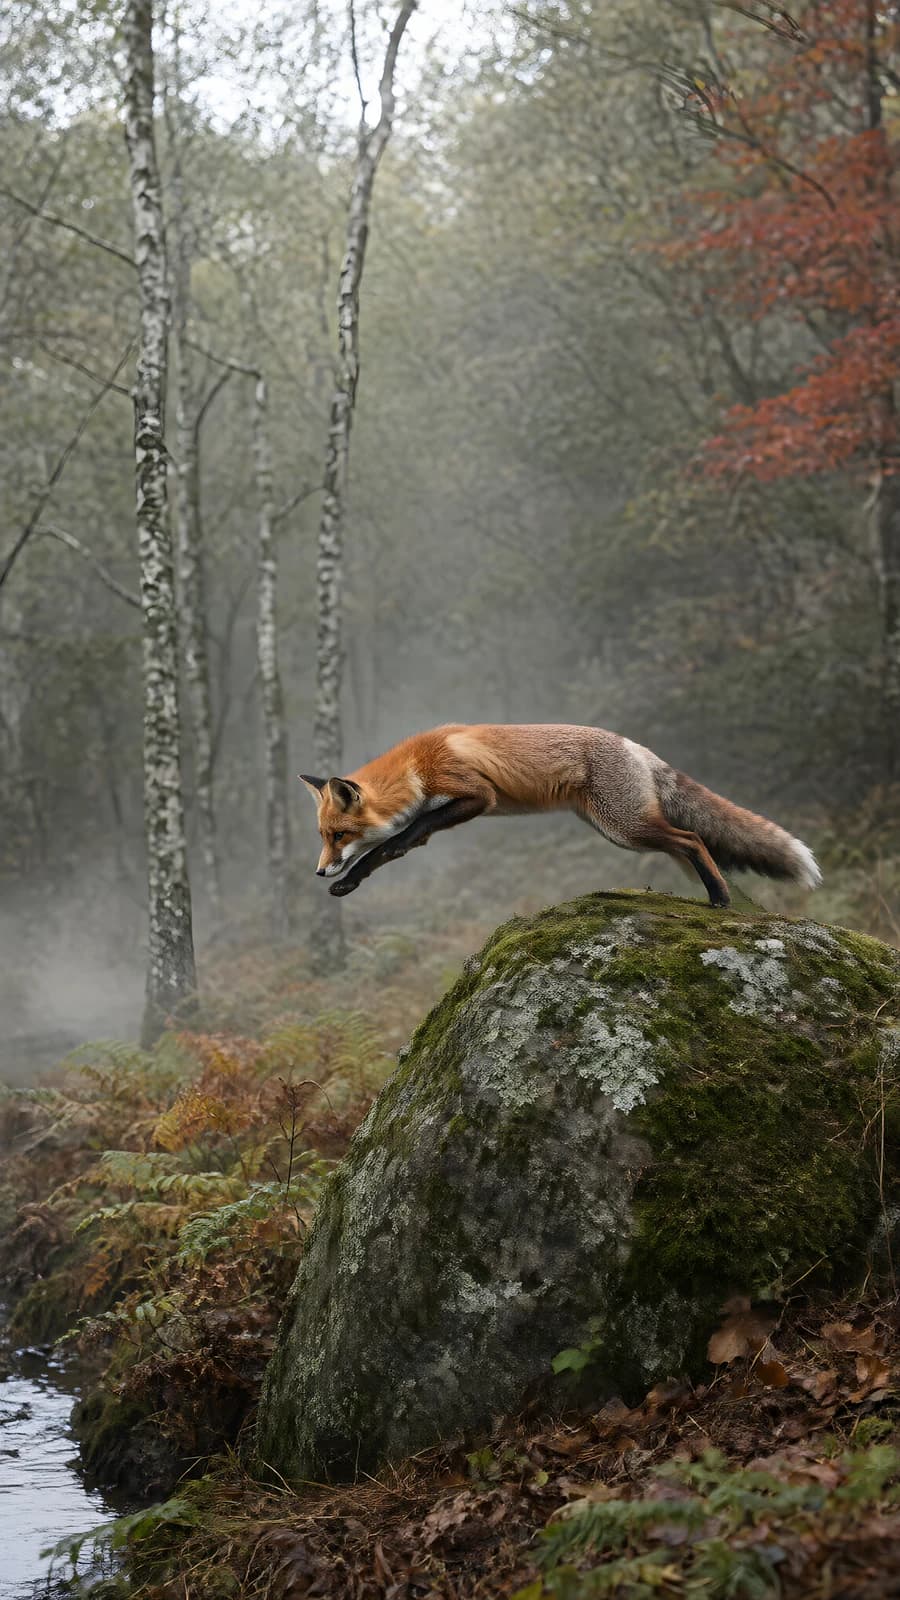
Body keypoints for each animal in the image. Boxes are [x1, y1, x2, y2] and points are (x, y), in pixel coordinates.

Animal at [300, 723, 821, 907]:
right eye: (323, 836)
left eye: (337, 835)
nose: (319, 870)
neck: (416, 767)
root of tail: (637, 746)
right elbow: (389, 850)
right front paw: (349, 882)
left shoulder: (476, 796)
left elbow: (396, 839)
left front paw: (347, 878)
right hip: (616, 826)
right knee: (691, 843)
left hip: (624, 828)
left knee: (693, 840)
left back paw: (719, 897)